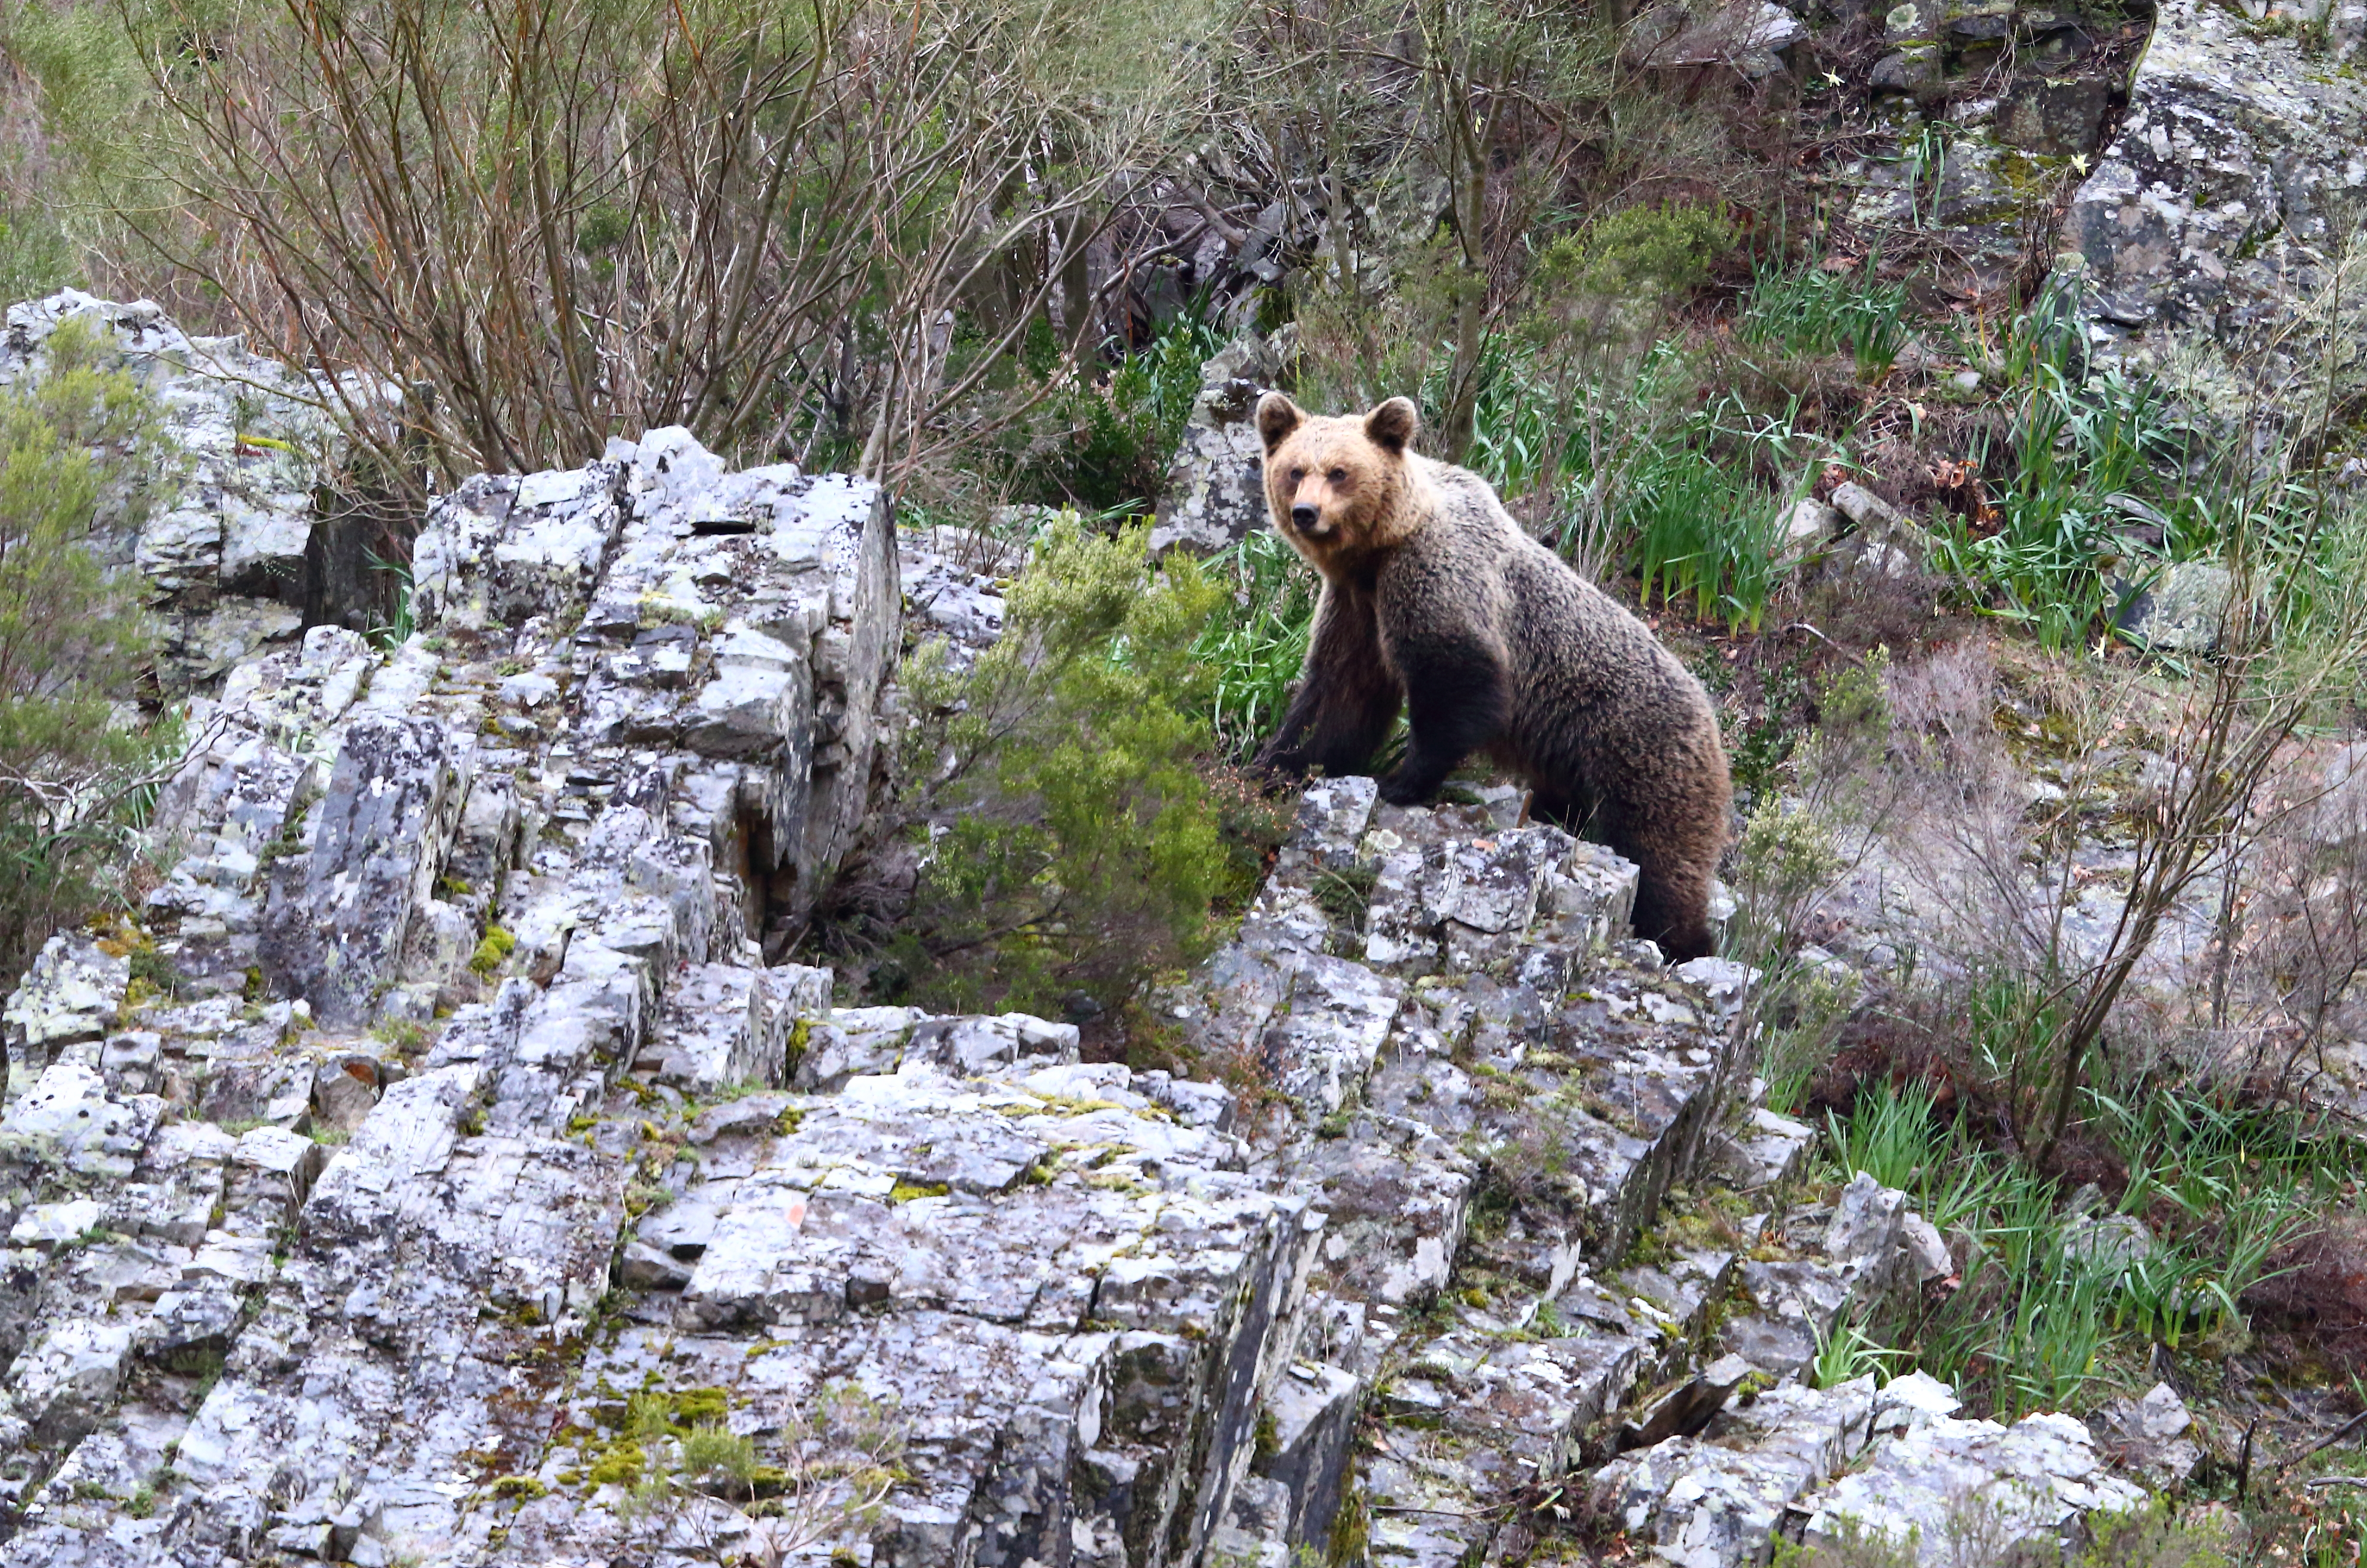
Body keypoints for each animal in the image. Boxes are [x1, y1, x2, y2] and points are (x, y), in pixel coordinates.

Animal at [1249, 393, 1732, 957]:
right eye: (1294, 470)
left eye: (1339, 472)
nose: (1306, 513)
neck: (1378, 551)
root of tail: (1711, 715)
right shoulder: (1356, 606)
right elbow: (1338, 693)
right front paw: (1274, 764)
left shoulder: (1436, 580)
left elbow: (1456, 683)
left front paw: (1400, 781)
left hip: (1641, 754)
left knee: (1659, 860)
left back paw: (1681, 943)